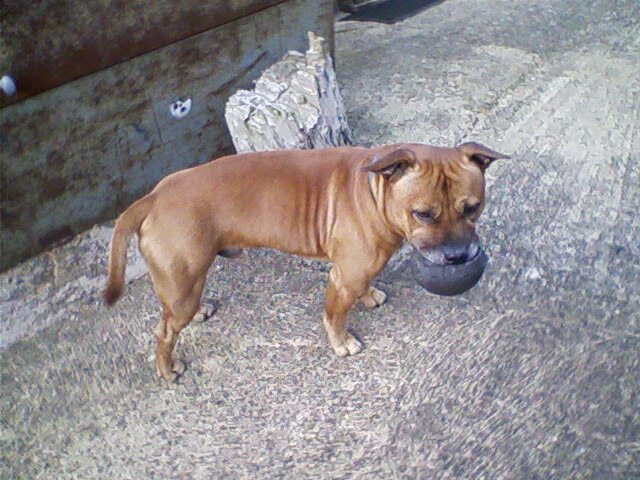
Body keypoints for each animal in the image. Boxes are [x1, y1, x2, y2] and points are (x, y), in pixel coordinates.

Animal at [104, 141, 504, 380]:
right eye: (422, 214)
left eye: (473, 208)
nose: (457, 256)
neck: (375, 190)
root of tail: (153, 197)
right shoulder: (344, 277)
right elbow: (335, 315)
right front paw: (342, 342)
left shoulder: (357, 270)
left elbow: (364, 286)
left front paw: (370, 296)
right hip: (182, 280)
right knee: (164, 332)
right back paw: (167, 369)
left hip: (186, 281)